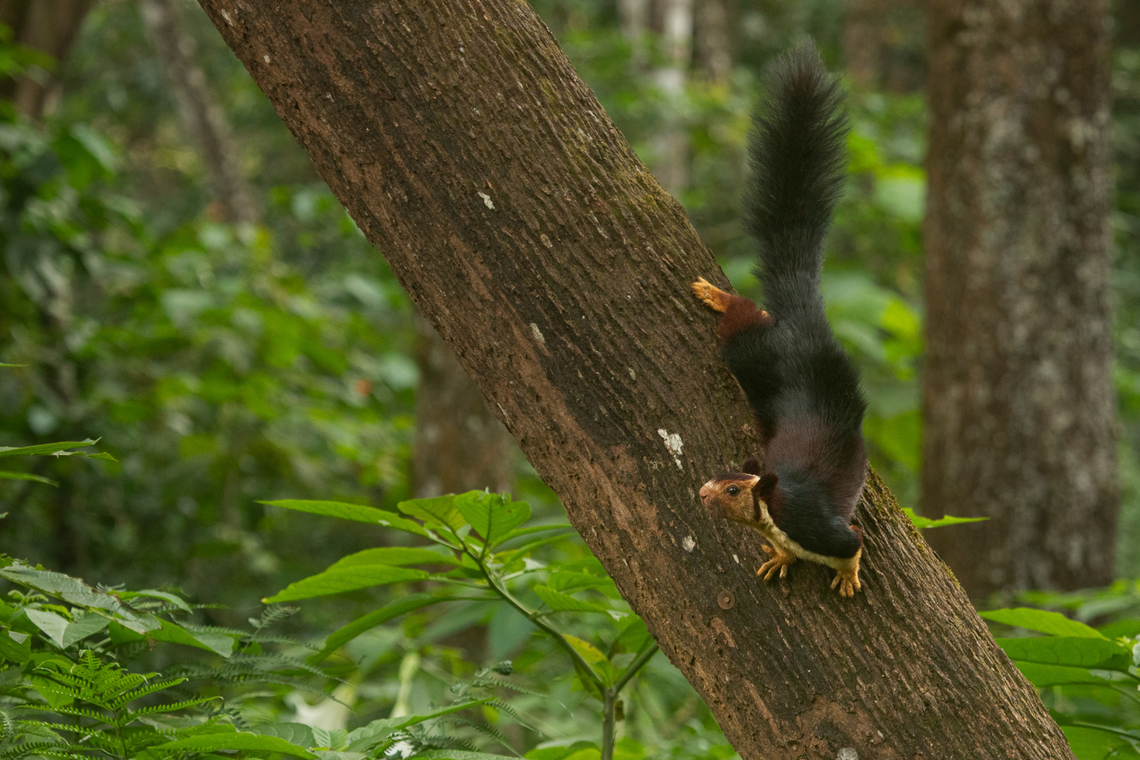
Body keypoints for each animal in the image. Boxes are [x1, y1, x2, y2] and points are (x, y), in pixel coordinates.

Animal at [692, 44, 867, 597]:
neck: (774, 510)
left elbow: (852, 544)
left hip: (755, 356)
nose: (700, 492)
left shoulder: (822, 527)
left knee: (745, 327)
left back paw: (722, 298)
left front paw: (848, 576)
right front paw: (779, 560)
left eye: (732, 489)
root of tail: (807, 326)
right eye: (719, 476)